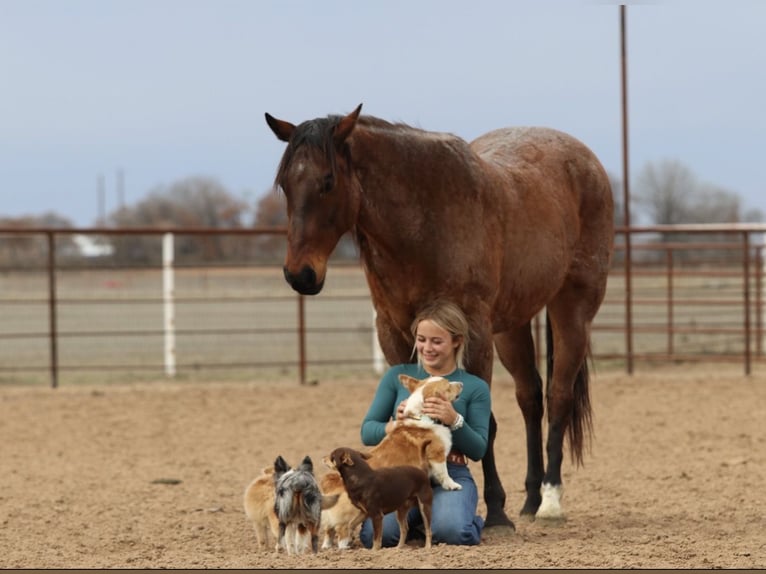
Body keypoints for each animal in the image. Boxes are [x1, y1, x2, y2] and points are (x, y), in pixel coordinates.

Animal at [265, 104, 614, 532]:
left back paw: (549, 500)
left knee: (558, 395)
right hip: (512, 326)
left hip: (572, 309)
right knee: (530, 398)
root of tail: (586, 162)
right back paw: (531, 499)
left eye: (328, 181)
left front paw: (495, 510)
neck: (424, 220)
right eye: (286, 185)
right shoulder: (393, 330)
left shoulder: (474, 332)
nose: (300, 274)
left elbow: (486, 424)